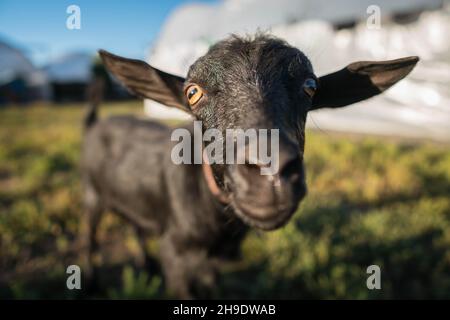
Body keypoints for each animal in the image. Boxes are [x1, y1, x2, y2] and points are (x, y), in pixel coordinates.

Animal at [81, 34, 418, 298]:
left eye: (310, 87)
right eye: (192, 92)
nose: (270, 172)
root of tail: (97, 123)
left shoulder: (214, 263)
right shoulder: (175, 254)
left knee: (135, 225)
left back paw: (145, 265)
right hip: (92, 195)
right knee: (91, 238)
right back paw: (93, 283)